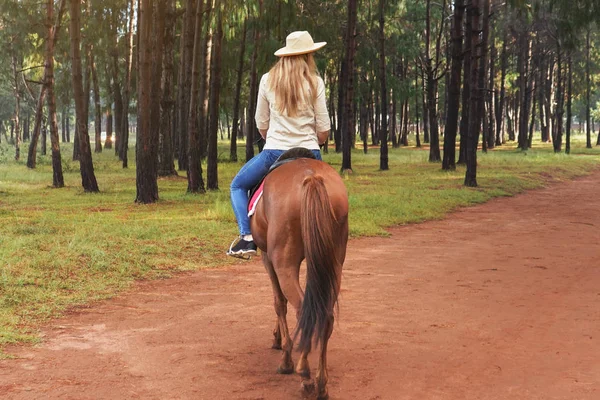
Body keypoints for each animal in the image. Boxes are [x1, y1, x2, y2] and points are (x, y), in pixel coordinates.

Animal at [248, 155, 350, 398]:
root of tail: (311, 177)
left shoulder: (268, 258)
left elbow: (279, 302)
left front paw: (285, 356)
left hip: (284, 263)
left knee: (303, 309)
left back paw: (304, 374)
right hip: (333, 263)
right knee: (324, 315)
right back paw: (321, 383)